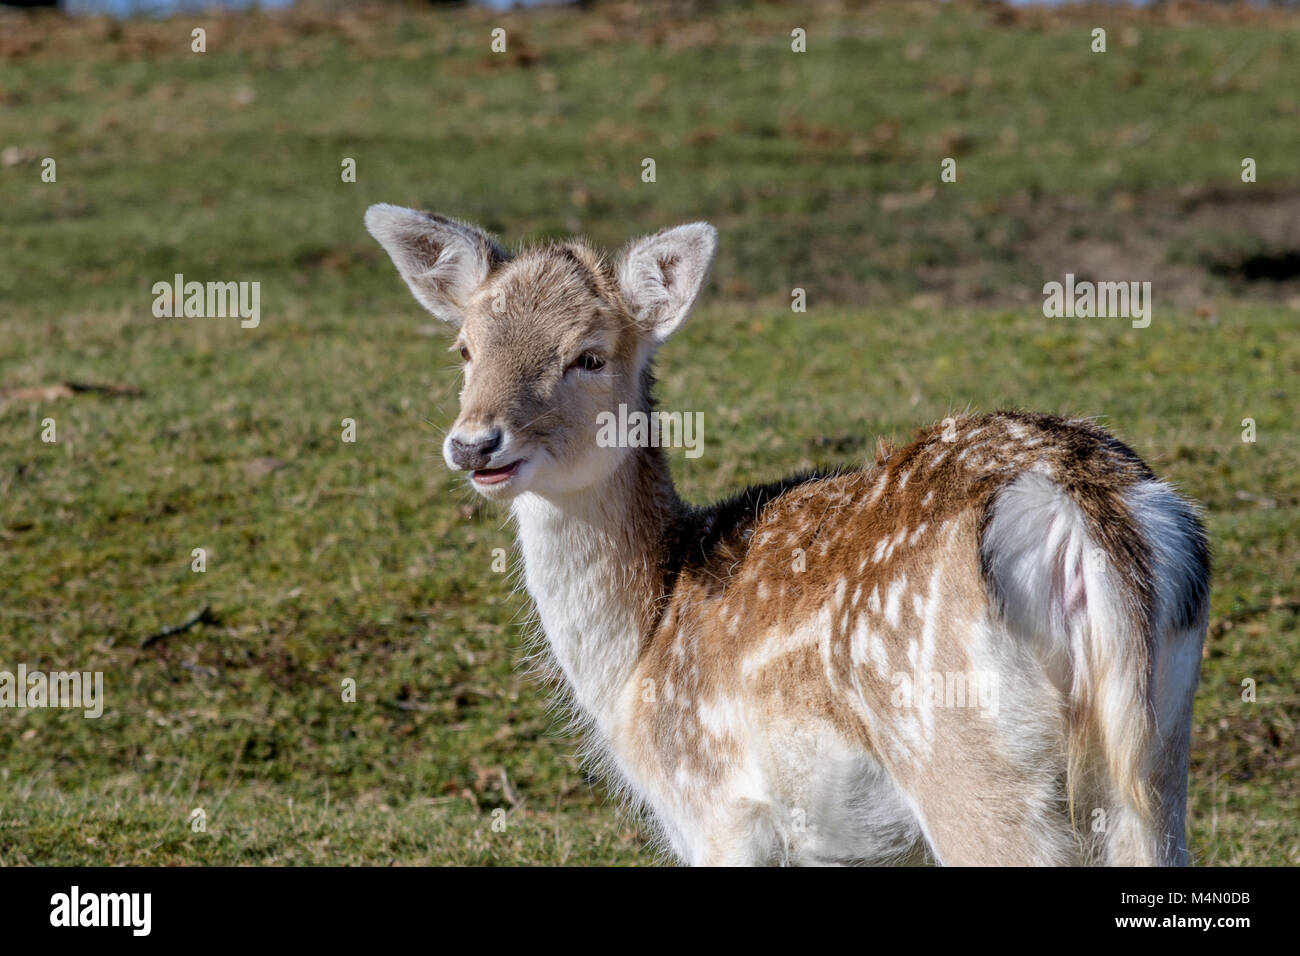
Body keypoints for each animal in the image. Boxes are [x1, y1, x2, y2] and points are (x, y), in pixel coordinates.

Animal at [365, 205, 1210, 866]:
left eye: (589, 355)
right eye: (465, 348)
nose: (475, 444)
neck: (637, 656)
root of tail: (1075, 502)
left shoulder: (720, 811)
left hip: (969, 762)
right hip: (1158, 752)